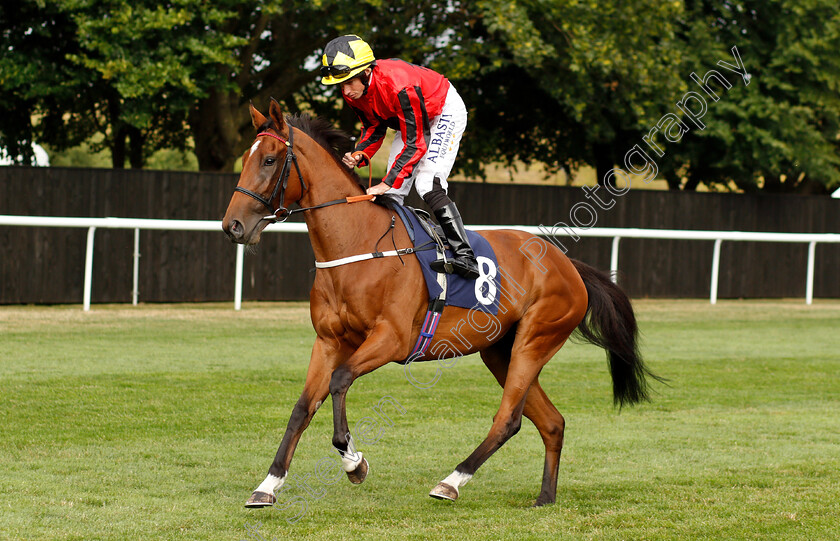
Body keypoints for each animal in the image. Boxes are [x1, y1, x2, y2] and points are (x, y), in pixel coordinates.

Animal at [225, 99, 664, 508]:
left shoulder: (392, 339)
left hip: (535, 340)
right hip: (501, 351)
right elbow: (303, 406)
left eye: (269, 159)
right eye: (246, 160)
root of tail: (568, 263)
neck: (358, 245)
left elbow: (340, 380)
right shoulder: (329, 341)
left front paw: (354, 462)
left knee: (508, 419)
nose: (233, 226)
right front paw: (268, 485)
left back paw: (450, 482)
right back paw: (544, 496)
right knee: (552, 422)